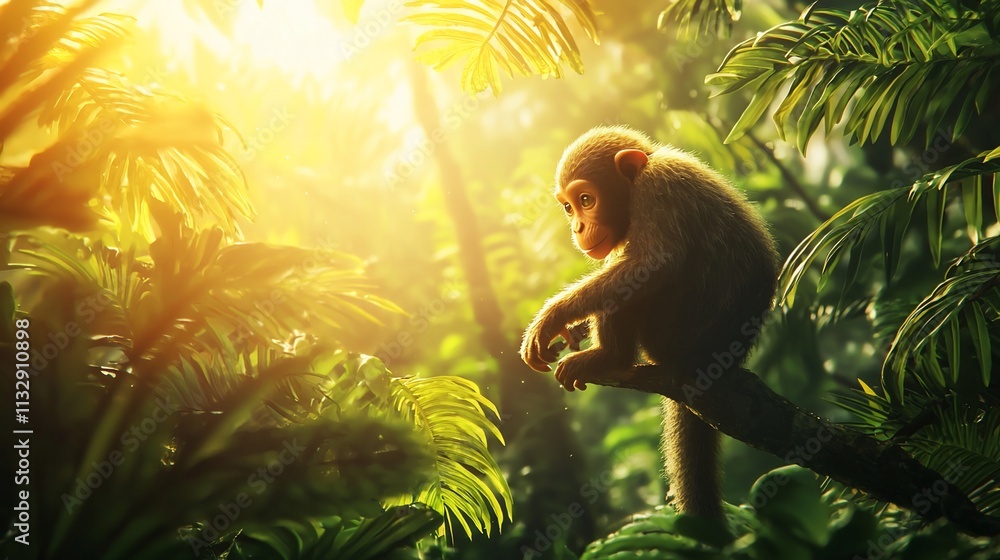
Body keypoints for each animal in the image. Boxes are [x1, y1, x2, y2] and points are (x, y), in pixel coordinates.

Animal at [519, 125, 779, 521]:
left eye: (586, 199)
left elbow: (650, 265)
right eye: (568, 206)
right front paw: (570, 329)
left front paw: (554, 315)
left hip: (671, 335)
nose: (578, 225)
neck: (644, 170)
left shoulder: (658, 188)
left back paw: (610, 357)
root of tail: (718, 360)